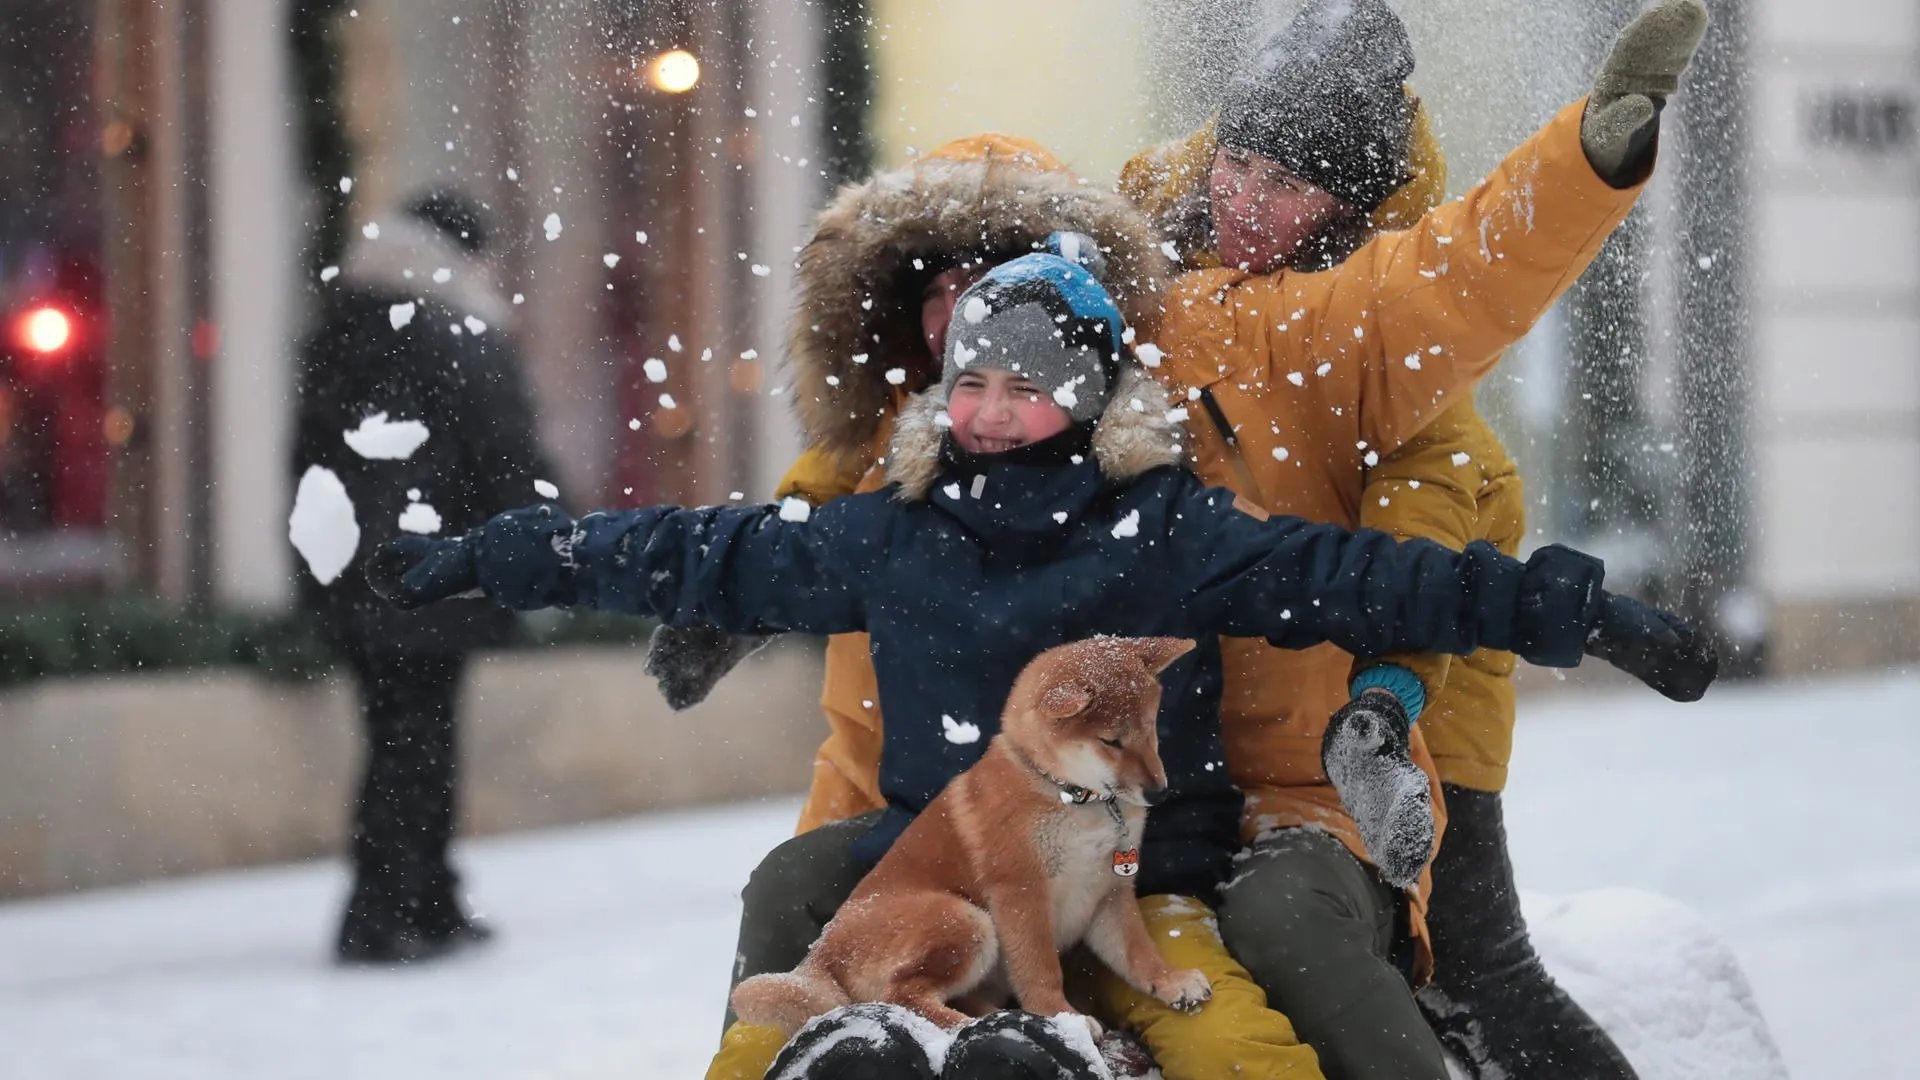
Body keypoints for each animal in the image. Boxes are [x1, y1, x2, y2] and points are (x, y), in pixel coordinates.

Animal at [725, 634, 1205, 1030]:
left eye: (1151, 728)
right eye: (1111, 741)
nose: (1159, 792)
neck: (1072, 797)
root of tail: (820, 955)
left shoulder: (1109, 890)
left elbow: (1138, 951)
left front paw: (1171, 981)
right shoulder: (1021, 892)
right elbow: (1040, 968)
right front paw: (1060, 1016)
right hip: (964, 919)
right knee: (902, 996)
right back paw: (967, 1024)